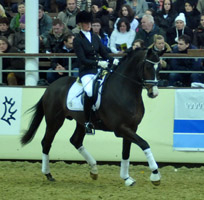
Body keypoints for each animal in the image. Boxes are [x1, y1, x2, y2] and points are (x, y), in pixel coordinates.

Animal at [20, 48, 161, 186]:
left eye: (159, 68)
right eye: (148, 67)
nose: (154, 93)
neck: (124, 90)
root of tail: (50, 87)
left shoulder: (131, 127)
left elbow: (126, 152)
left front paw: (126, 178)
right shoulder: (121, 129)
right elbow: (144, 144)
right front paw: (155, 175)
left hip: (81, 122)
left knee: (75, 141)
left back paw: (94, 169)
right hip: (54, 121)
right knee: (46, 142)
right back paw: (48, 174)